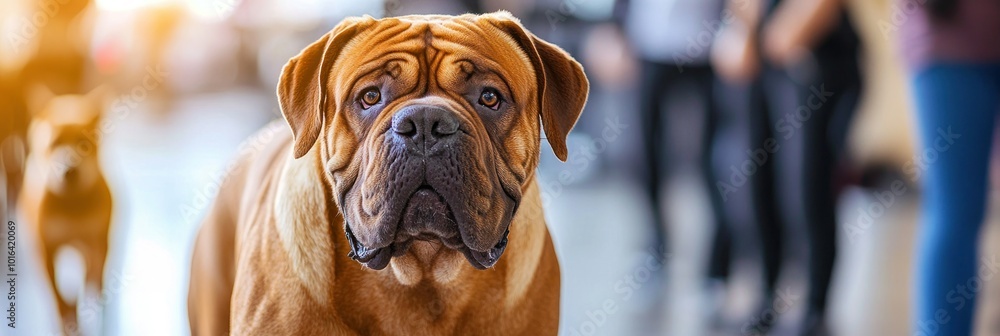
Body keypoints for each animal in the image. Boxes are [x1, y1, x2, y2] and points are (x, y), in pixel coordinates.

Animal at [20, 86, 113, 334]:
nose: (69, 169)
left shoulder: (97, 244)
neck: (73, 204)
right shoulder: (45, 249)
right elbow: (57, 295)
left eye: (84, 141)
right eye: (54, 143)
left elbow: (93, 282)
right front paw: (66, 318)